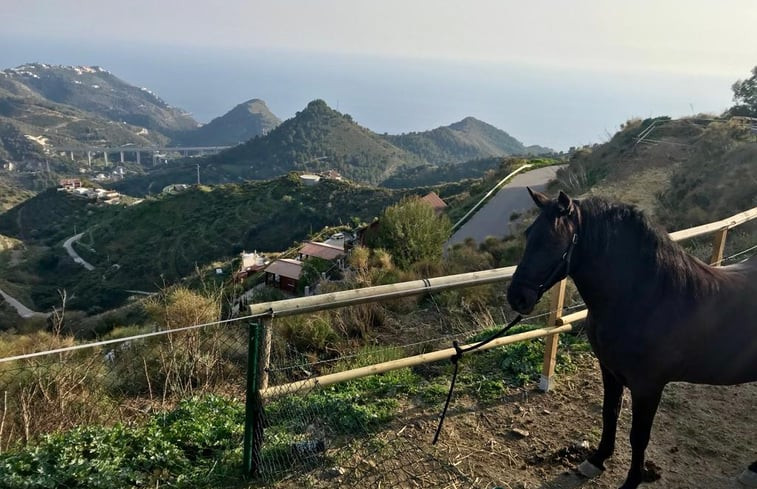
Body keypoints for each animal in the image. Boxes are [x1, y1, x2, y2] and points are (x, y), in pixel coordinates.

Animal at [504, 188, 752, 488]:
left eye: (553, 239)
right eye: (529, 234)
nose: (516, 297)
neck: (648, 298)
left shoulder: (648, 387)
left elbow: (639, 436)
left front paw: (632, 481)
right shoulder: (610, 370)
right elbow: (609, 413)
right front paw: (597, 459)